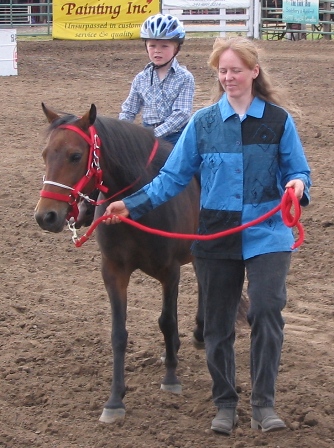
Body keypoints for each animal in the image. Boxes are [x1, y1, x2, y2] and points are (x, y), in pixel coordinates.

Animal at [35, 104, 205, 424]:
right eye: (45, 154)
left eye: (75, 155)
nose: (45, 216)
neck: (138, 202)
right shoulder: (113, 271)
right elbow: (118, 333)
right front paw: (115, 400)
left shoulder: (170, 272)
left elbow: (167, 320)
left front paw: (171, 378)